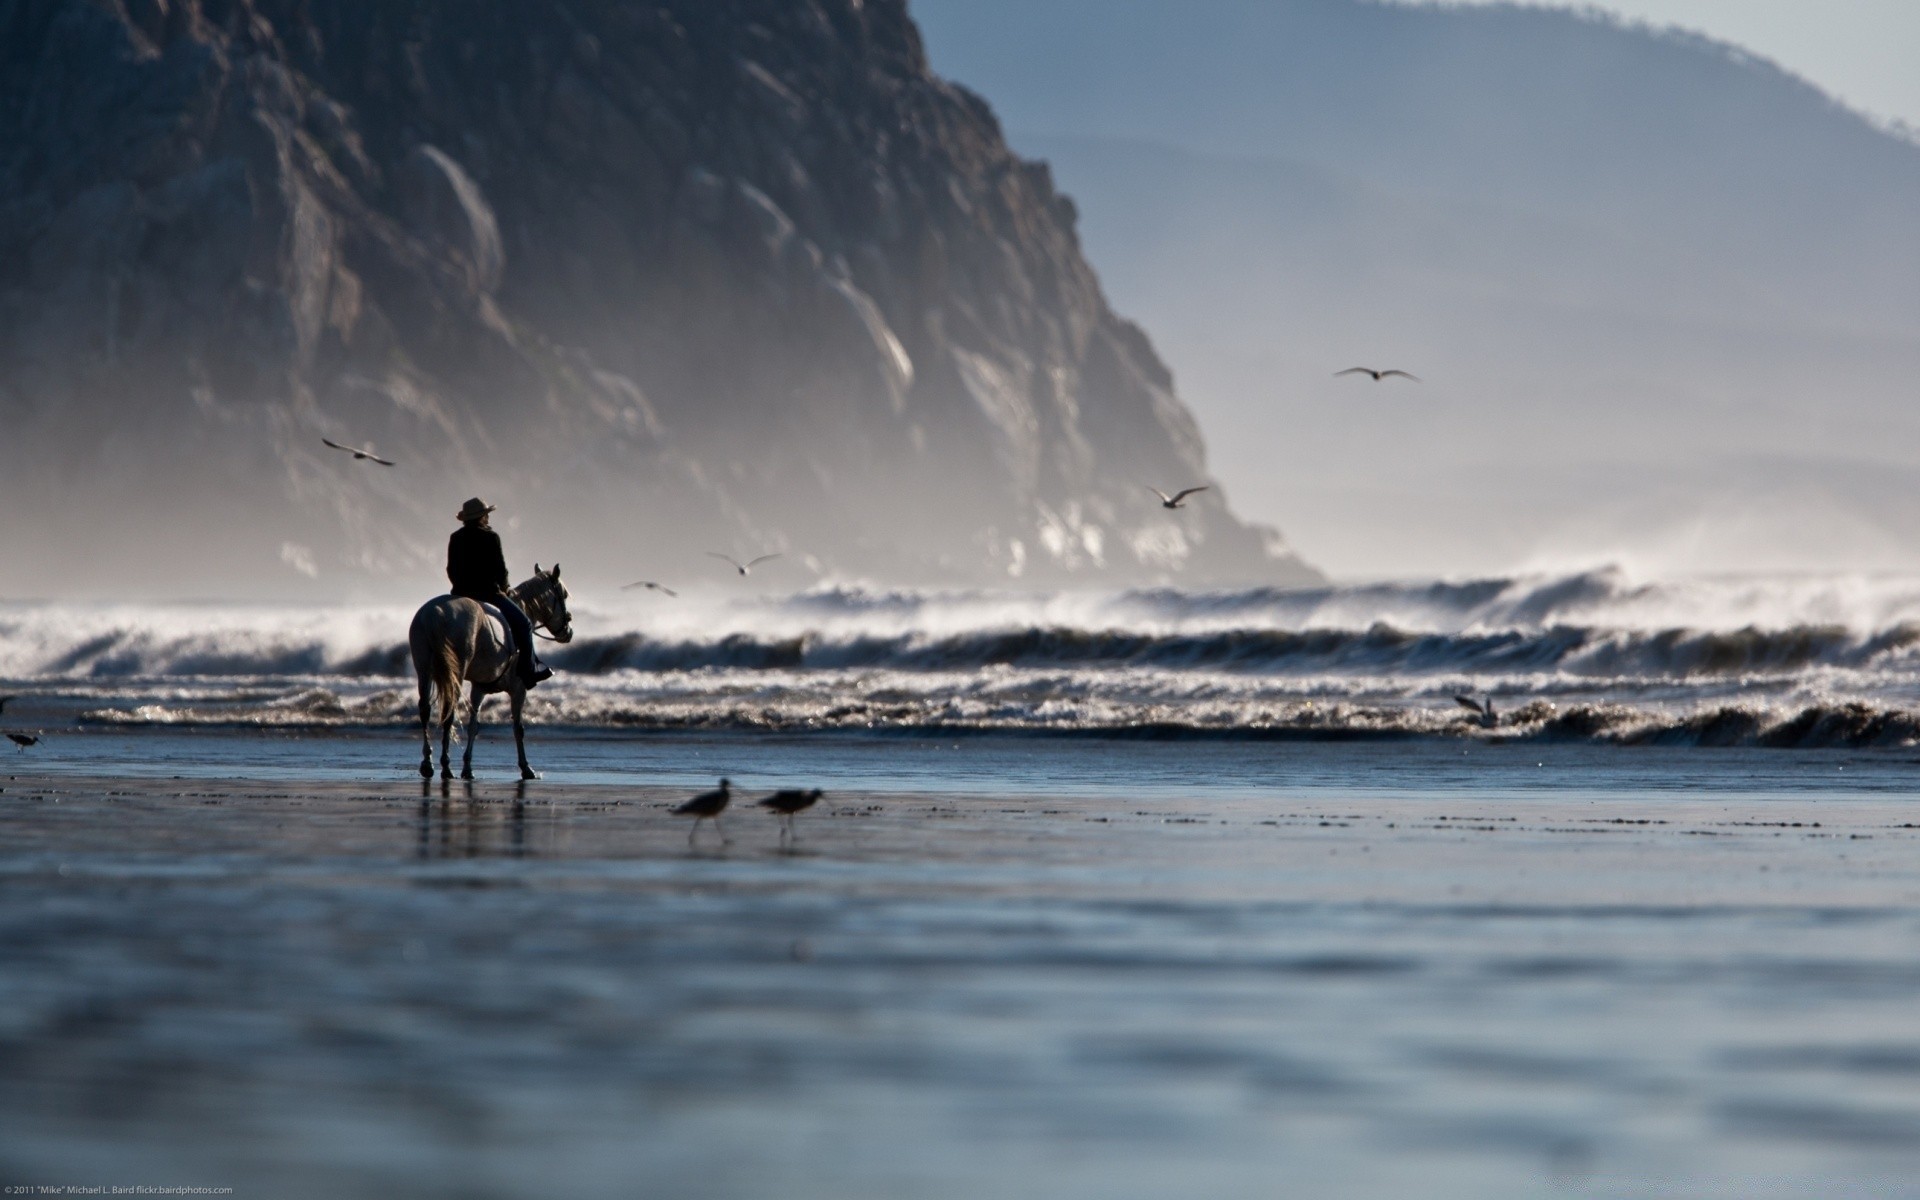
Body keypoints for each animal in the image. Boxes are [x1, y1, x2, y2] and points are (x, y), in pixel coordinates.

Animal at [408, 564, 572, 783]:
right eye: (564, 595)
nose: (568, 631)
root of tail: (434, 614)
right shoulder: (519, 688)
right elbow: (518, 728)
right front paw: (526, 768)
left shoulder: (479, 688)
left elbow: (473, 726)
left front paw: (468, 768)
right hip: (455, 671)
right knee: (449, 712)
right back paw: (445, 766)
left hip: (424, 669)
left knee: (425, 709)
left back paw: (428, 763)